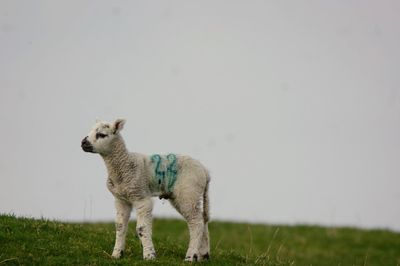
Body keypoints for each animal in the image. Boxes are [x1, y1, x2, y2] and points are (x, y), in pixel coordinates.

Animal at [82, 119, 212, 262]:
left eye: (101, 134)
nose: (83, 142)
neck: (125, 165)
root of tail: (205, 172)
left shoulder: (141, 196)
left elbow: (142, 228)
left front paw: (149, 255)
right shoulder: (121, 199)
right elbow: (120, 227)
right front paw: (116, 254)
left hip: (188, 193)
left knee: (196, 223)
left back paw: (190, 256)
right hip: (187, 196)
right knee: (203, 220)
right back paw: (203, 255)